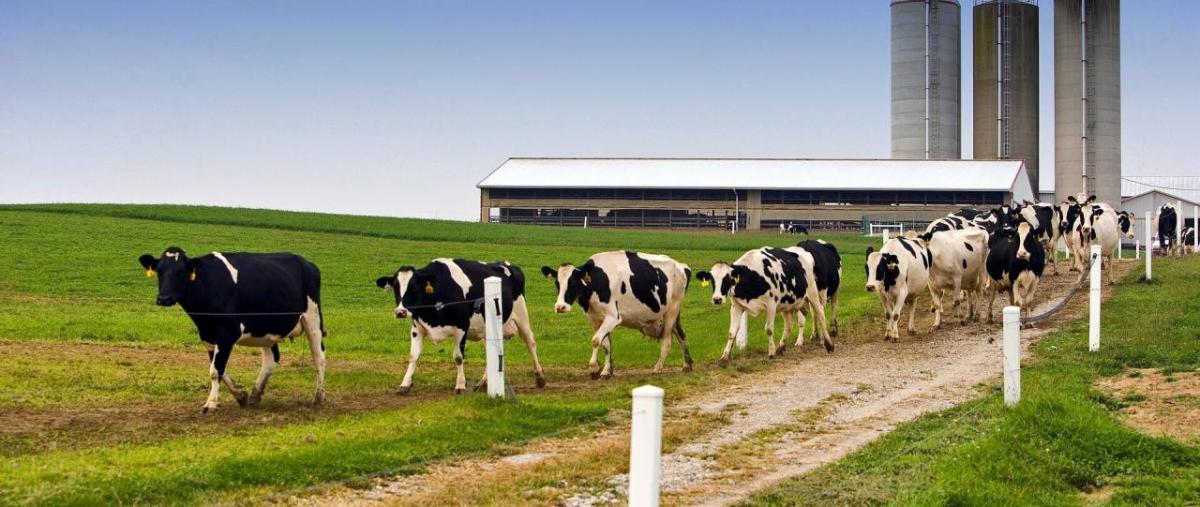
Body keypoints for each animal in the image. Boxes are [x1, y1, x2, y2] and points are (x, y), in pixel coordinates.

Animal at [138, 247, 326, 413]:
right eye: (159, 271)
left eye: (181, 272)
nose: (164, 298)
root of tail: (307, 263)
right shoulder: (208, 335)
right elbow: (218, 368)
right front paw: (241, 395)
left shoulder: (227, 332)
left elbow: (215, 371)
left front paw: (211, 404)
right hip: (264, 328)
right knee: (271, 358)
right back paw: (256, 394)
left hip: (313, 319)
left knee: (319, 357)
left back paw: (318, 398)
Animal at [544, 251, 696, 377]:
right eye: (557, 283)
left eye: (573, 283)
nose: (560, 307)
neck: (597, 280)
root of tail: (682, 266)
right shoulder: (595, 319)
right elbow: (605, 344)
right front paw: (606, 370)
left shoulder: (613, 317)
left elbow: (596, 340)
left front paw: (594, 367)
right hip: (670, 313)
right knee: (681, 334)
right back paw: (687, 364)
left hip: (672, 310)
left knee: (667, 340)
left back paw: (658, 368)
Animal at [696, 245, 835, 365]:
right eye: (712, 280)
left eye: (728, 279)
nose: (717, 299)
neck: (752, 275)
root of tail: (805, 253)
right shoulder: (736, 306)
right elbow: (732, 332)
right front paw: (725, 357)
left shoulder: (771, 305)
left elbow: (768, 329)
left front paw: (771, 352)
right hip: (787, 303)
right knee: (789, 324)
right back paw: (781, 347)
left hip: (813, 294)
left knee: (821, 314)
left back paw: (829, 344)